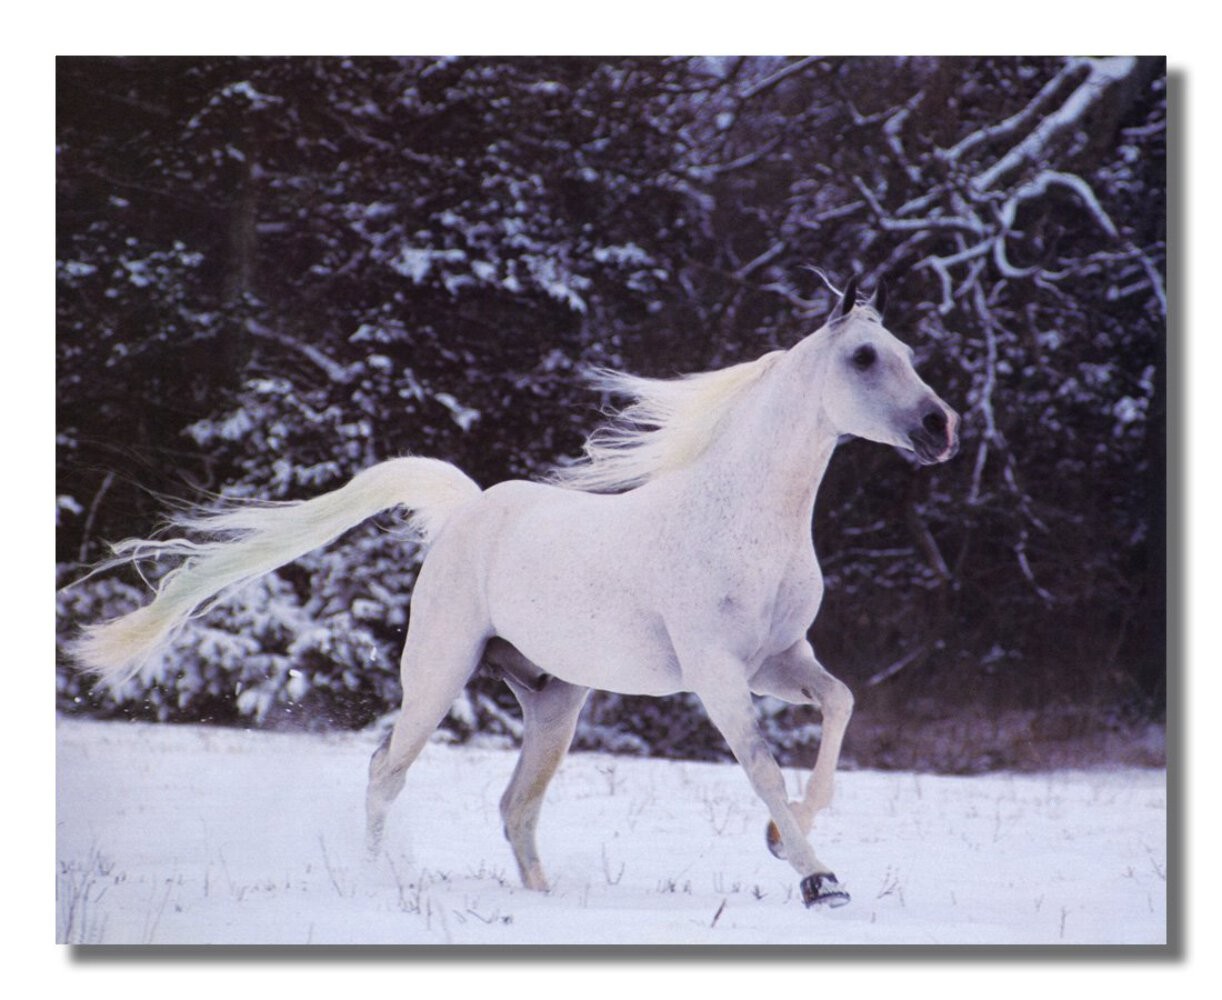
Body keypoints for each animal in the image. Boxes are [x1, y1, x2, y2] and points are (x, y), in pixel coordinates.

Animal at [72, 277, 959, 908]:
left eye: (906, 350)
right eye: (865, 358)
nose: (940, 428)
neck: (741, 517)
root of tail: (467, 510)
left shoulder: (779, 660)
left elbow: (840, 705)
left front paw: (784, 842)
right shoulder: (716, 672)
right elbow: (763, 765)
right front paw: (818, 880)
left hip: (554, 701)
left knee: (514, 804)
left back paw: (541, 899)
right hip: (437, 674)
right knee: (385, 770)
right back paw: (379, 881)